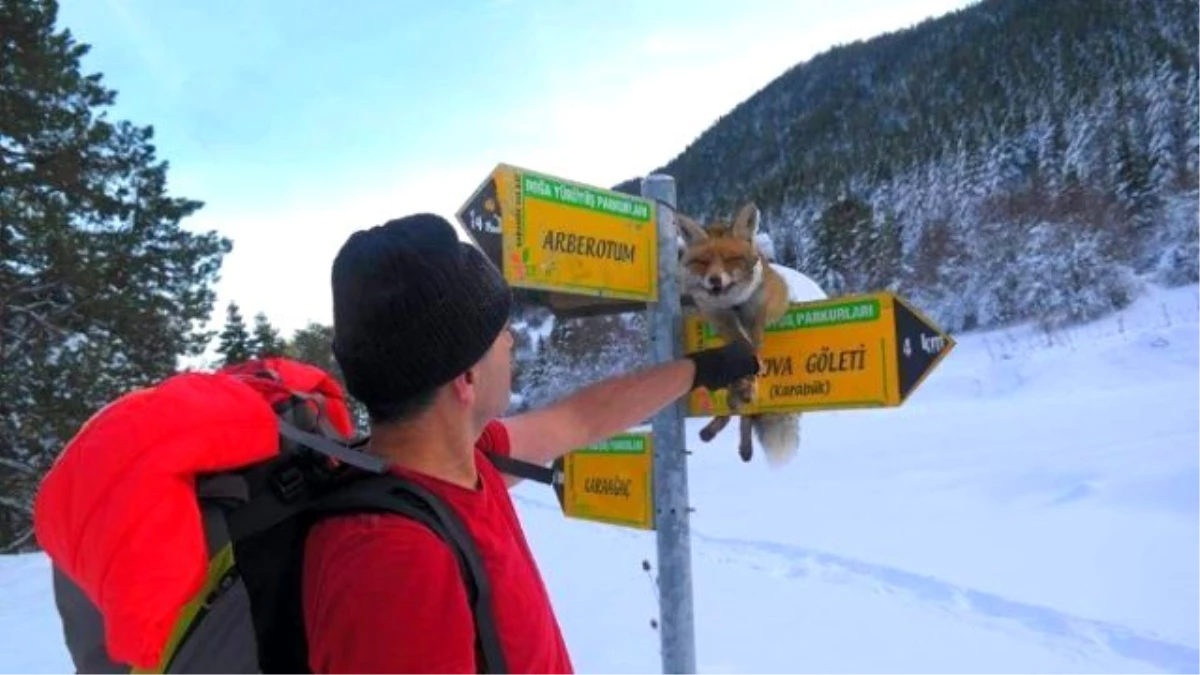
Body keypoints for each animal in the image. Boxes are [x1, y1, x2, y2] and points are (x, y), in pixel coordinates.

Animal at [681, 199, 801, 461]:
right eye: (703, 262)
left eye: (729, 259)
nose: (714, 281)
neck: (734, 304)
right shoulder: (719, 318)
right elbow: (740, 349)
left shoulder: (757, 315)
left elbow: (753, 349)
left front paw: (750, 377)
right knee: (733, 410)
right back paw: (716, 429)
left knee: (744, 413)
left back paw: (742, 443)